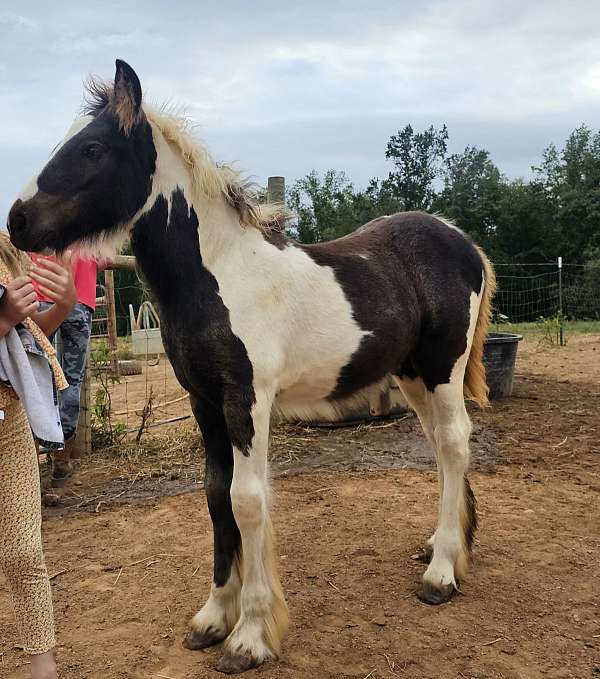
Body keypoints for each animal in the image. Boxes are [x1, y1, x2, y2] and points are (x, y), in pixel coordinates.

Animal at [8, 61, 496, 676]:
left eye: (92, 147)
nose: (17, 220)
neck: (220, 276)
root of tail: (464, 242)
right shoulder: (204, 401)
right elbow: (217, 496)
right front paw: (215, 617)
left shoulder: (247, 399)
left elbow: (248, 499)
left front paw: (250, 634)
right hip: (410, 375)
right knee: (439, 446)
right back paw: (441, 546)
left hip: (441, 368)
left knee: (454, 441)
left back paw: (442, 574)